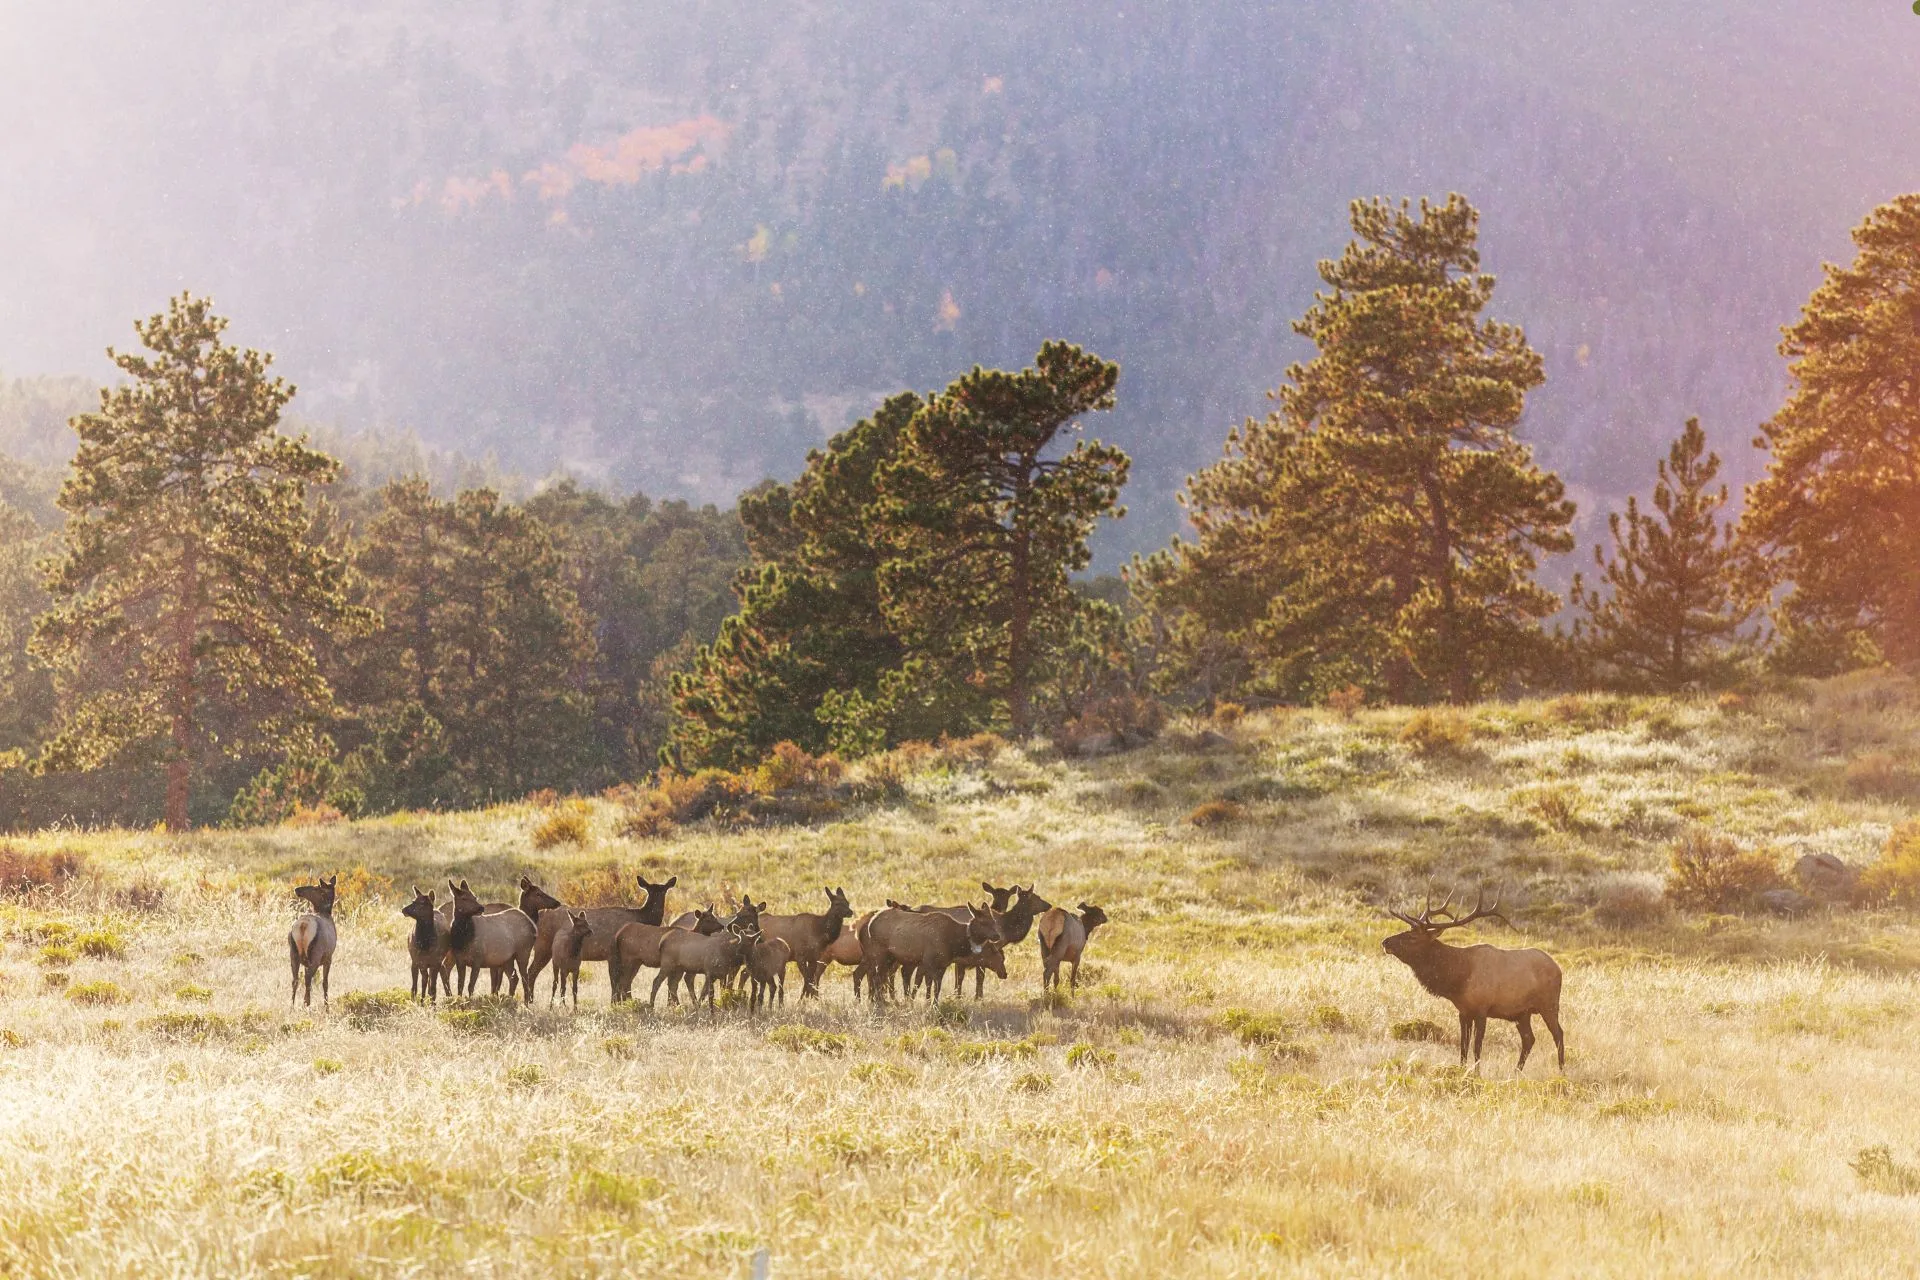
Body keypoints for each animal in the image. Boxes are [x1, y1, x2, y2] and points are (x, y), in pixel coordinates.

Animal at [288, 875, 338, 1008]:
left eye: (316, 887)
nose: (297, 889)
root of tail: (303, 925)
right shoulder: (328, 958)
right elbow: (325, 983)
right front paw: (327, 1008)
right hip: (315, 955)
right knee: (308, 978)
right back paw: (306, 1004)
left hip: (293, 954)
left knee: (295, 980)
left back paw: (292, 1007)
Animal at [1382, 888, 1565, 1073]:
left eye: (1413, 937)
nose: (1385, 941)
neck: (1459, 979)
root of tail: (1558, 968)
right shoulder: (1463, 1011)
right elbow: (1464, 1045)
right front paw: (1461, 1069)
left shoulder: (1482, 1010)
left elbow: (1477, 1046)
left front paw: (1477, 1073)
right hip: (1522, 1013)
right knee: (1529, 1039)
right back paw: (1516, 1071)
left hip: (1549, 1004)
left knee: (1558, 1034)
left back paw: (1561, 1071)